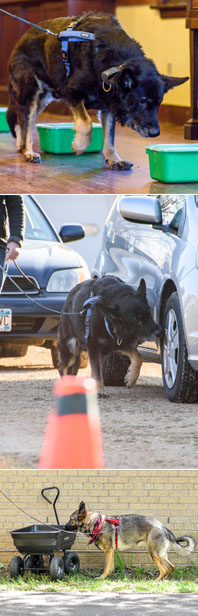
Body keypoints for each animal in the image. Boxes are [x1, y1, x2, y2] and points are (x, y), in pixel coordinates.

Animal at [6, 12, 189, 170]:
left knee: (23, 121)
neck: (111, 67)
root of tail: (22, 38)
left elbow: (110, 137)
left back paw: (22, 146)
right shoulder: (71, 92)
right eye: (142, 101)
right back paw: (27, 150)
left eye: (158, 104)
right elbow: (86, 122)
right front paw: (80, 145)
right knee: (25, 119)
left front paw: (113, 159)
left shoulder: (109, 104)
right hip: (31, 93)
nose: (156, 133)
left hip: (43, 99)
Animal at [65, 502, 196, 580]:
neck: (95, 523)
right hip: (161, 554)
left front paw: (102, 578)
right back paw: (163, 579)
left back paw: (156, 580)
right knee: (171, 567)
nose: (64, 527)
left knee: (165, 569)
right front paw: (108, 577)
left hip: (154, 553)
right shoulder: (111, 552)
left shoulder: (109, 551)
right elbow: (110, 566)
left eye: (71, 519)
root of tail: (164, 528)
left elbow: (106, 566)